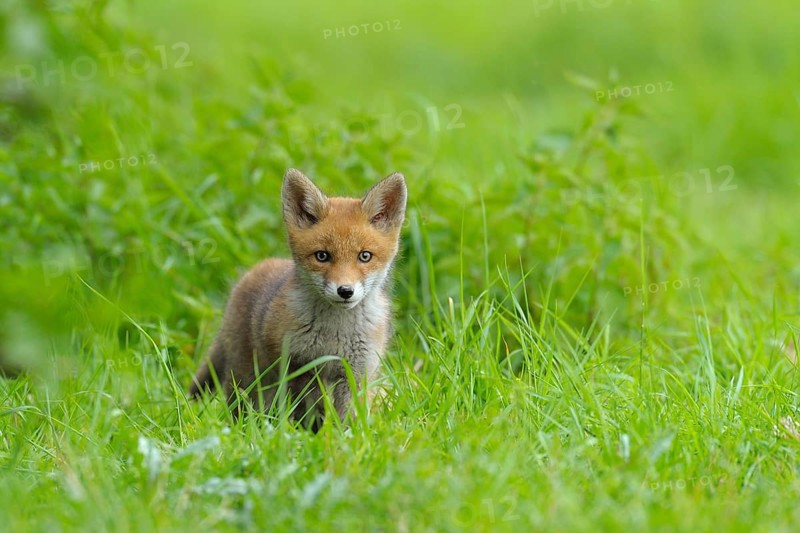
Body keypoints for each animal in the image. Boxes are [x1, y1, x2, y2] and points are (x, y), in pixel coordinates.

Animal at [188, 168, 407, 429]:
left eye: (365, 256)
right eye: (322, 256)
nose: (345, 291)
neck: (335, 334)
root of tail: (255, 270)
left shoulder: (356, 372)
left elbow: (348, 417)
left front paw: (344, 437)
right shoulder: (300, 368)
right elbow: (307, 413)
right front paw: (306, 435)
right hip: (249, 377)